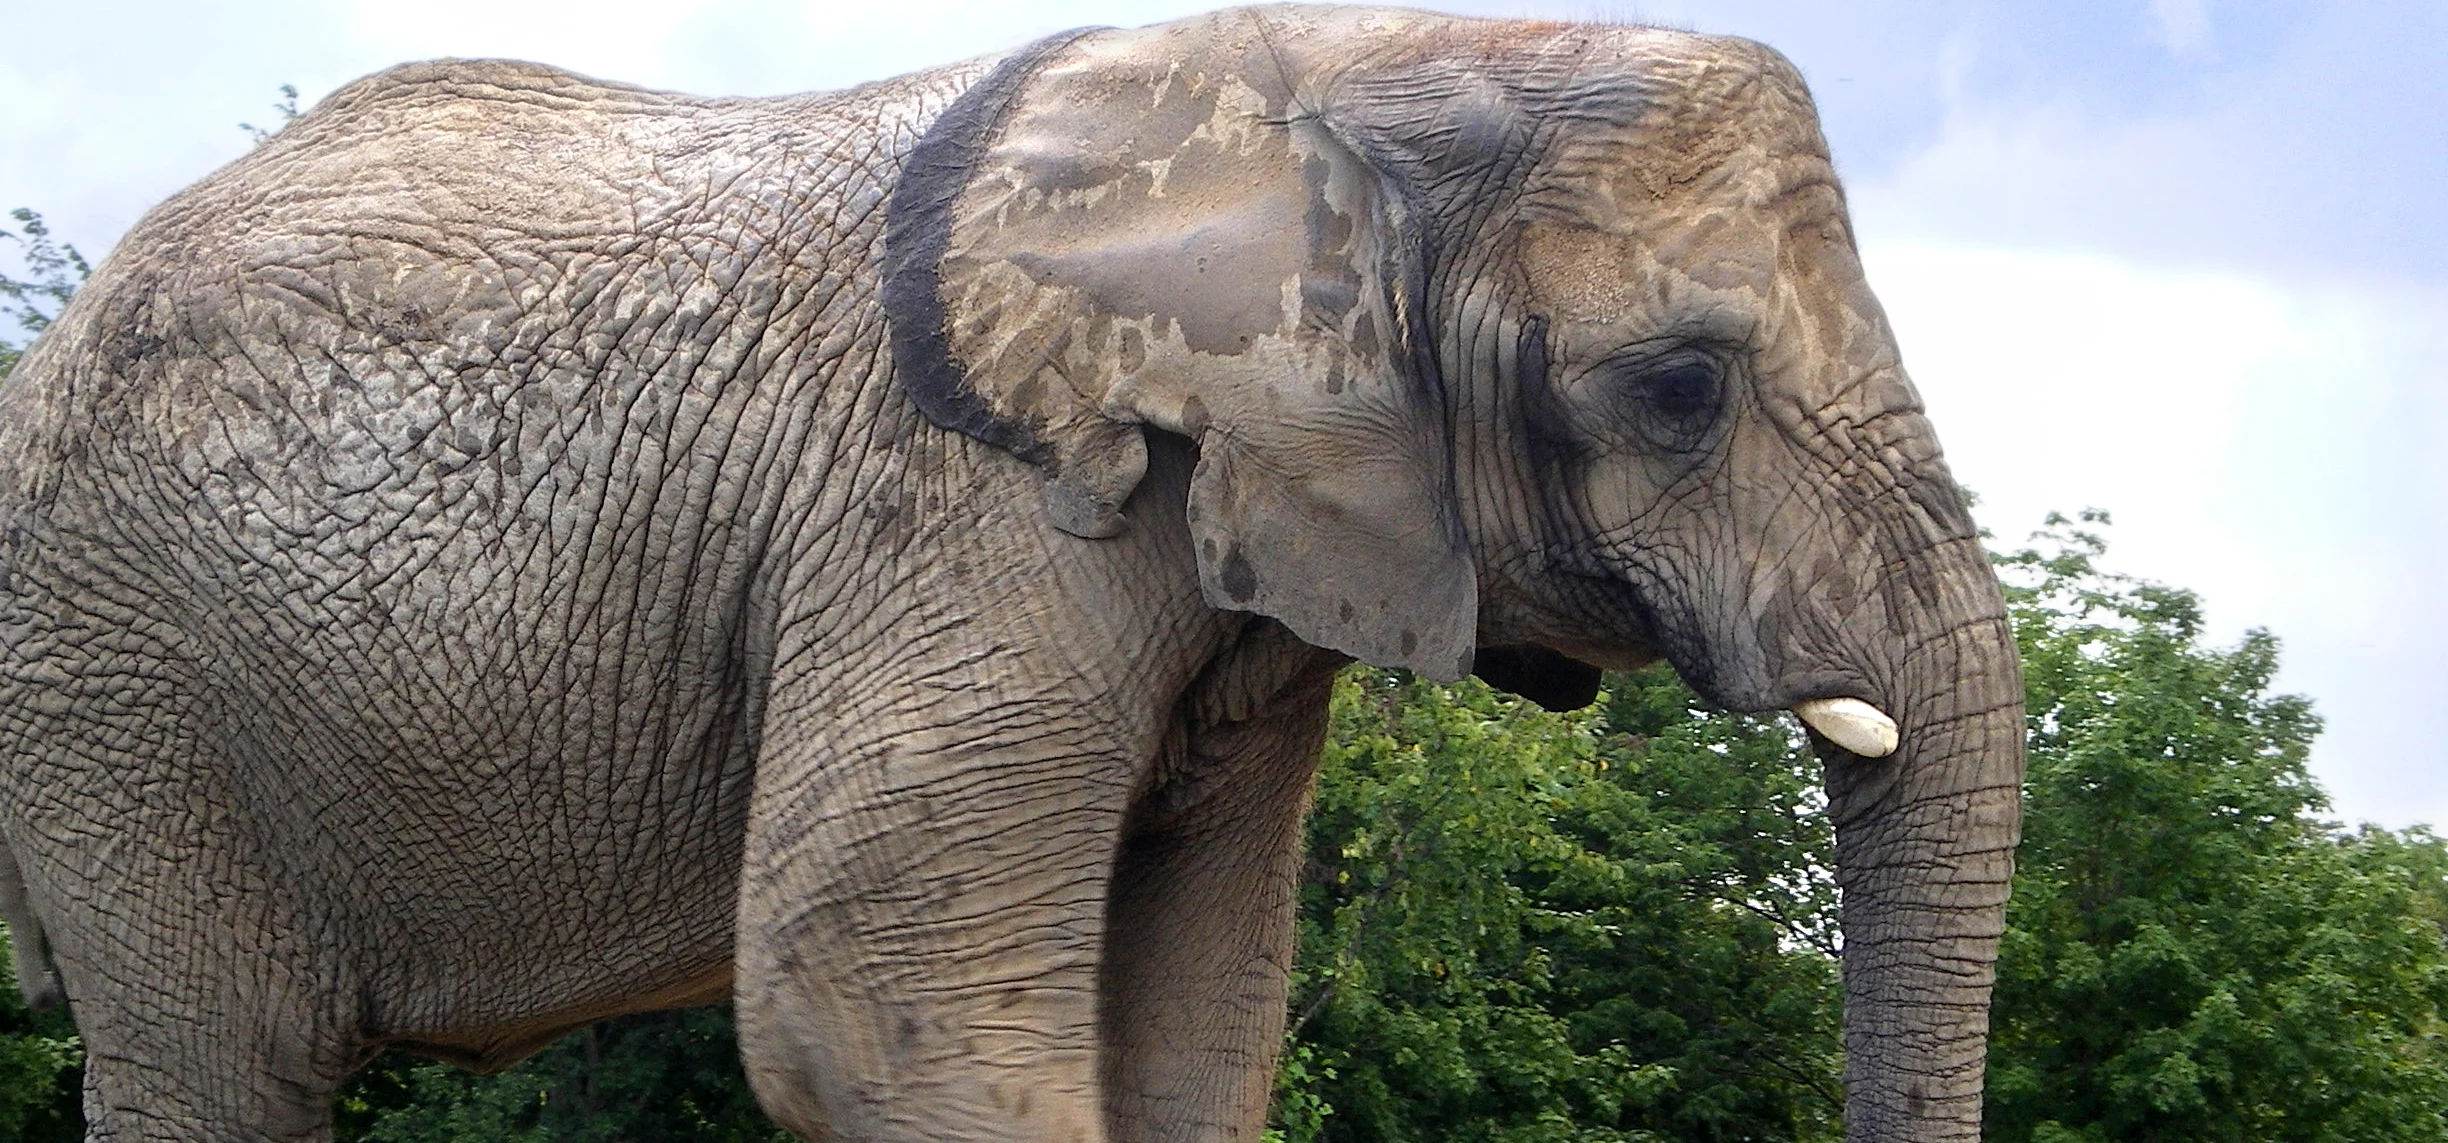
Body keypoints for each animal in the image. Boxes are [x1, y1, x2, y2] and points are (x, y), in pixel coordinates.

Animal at [0, 6, 2023, 1141]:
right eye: (1678, 388)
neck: (1343, 80)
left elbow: (1201, 1020)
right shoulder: (968, 510)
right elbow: (853, 982)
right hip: (113, 696)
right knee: (227, 1065)